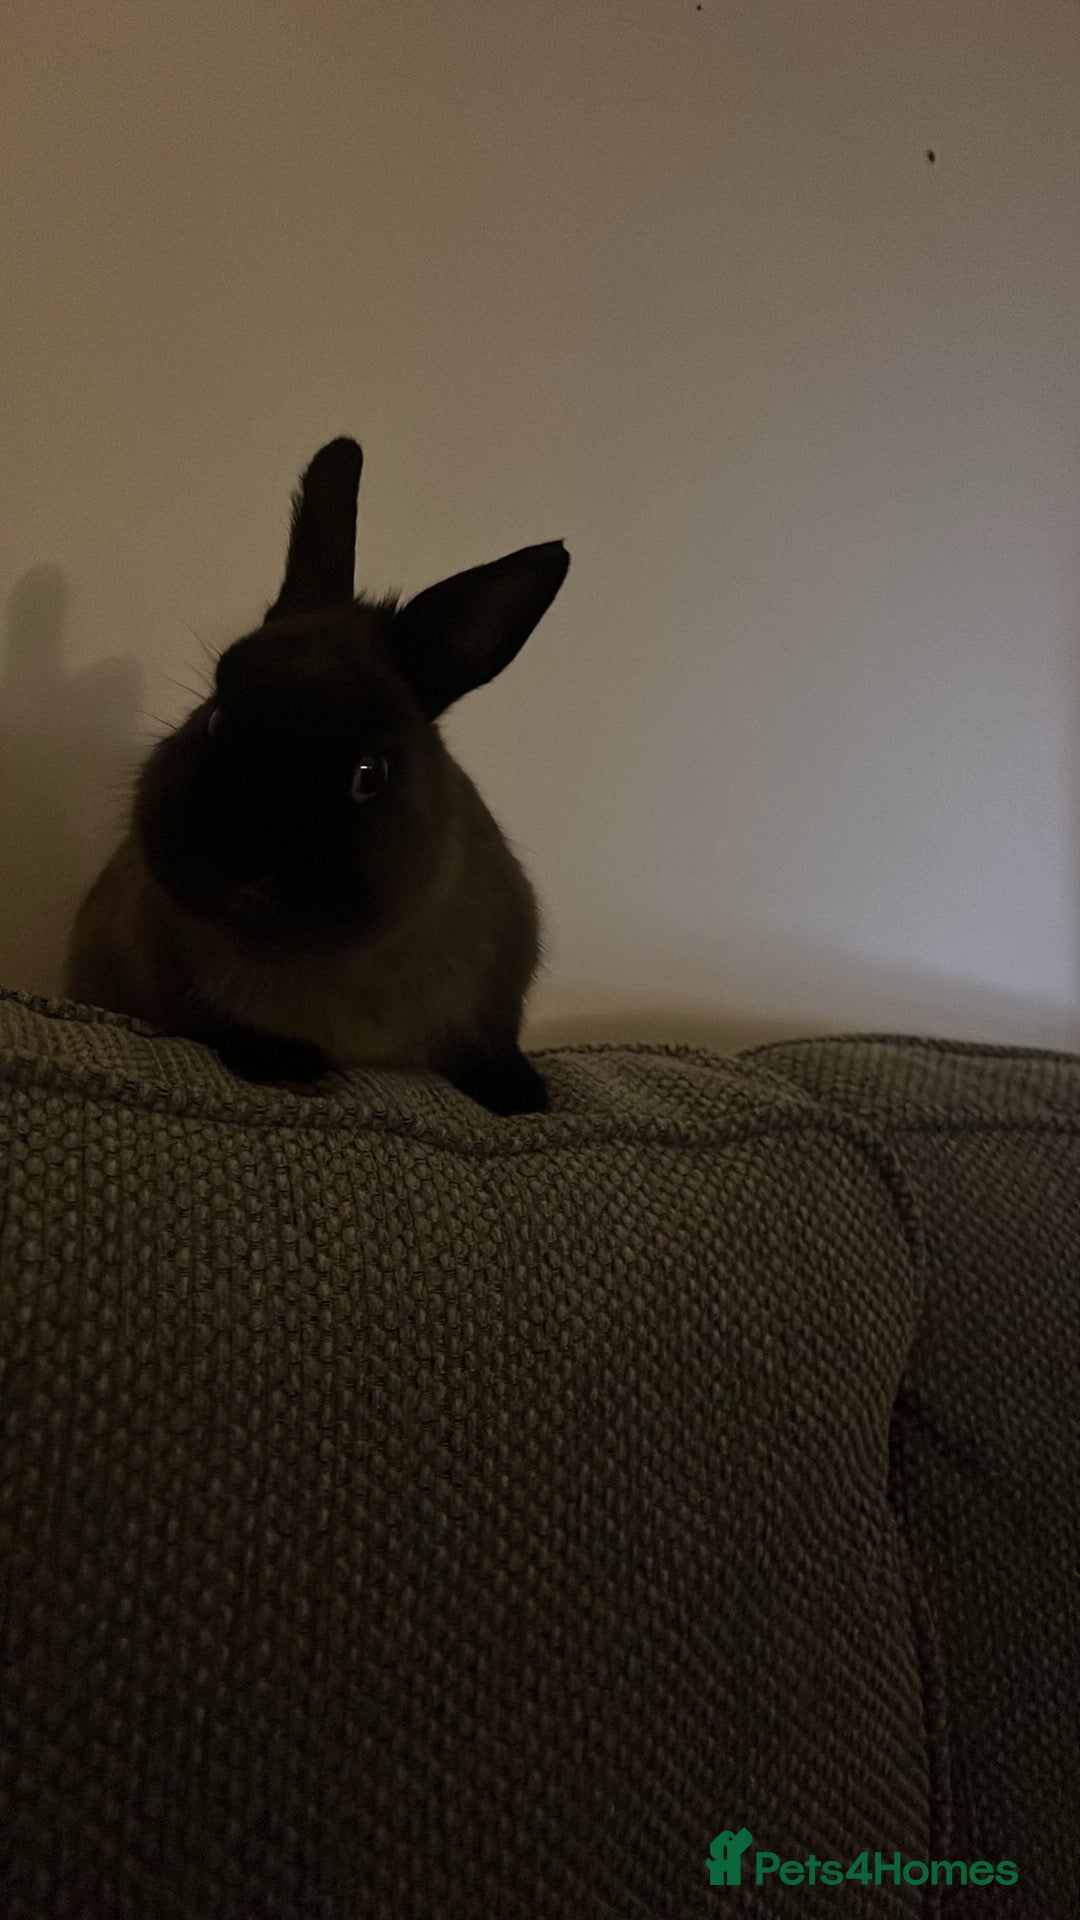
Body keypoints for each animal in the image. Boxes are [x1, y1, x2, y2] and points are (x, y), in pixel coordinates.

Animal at [64, 437, 569, 1115]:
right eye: (217, 716)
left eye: (369, 773)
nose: (234, 862)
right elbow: (209, 1023)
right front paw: (286, 1061)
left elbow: (489, 1043)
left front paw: (522, 1095)